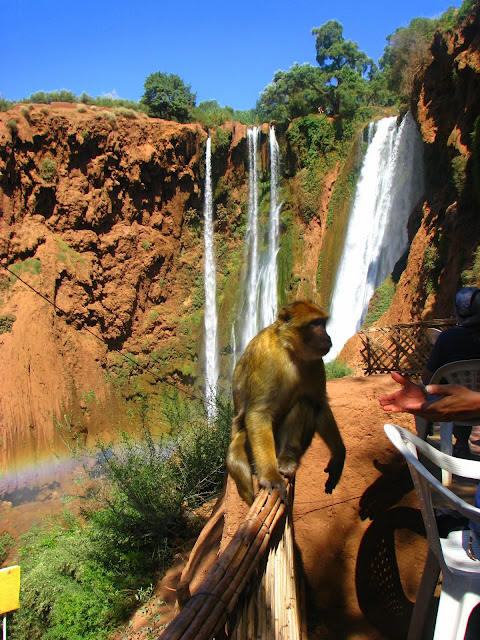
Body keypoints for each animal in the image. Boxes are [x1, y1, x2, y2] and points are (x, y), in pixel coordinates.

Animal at [228, 300, 344, 504]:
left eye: (323, 323)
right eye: (316, 323)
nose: (328, 336)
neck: (288, 350)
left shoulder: (315, 362)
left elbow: (319, 403)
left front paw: (339, 454)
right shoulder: (267, 358)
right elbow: (258, 413)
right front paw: (271, 476)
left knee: (304, 403)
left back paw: (287, 459)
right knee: (235, 456)